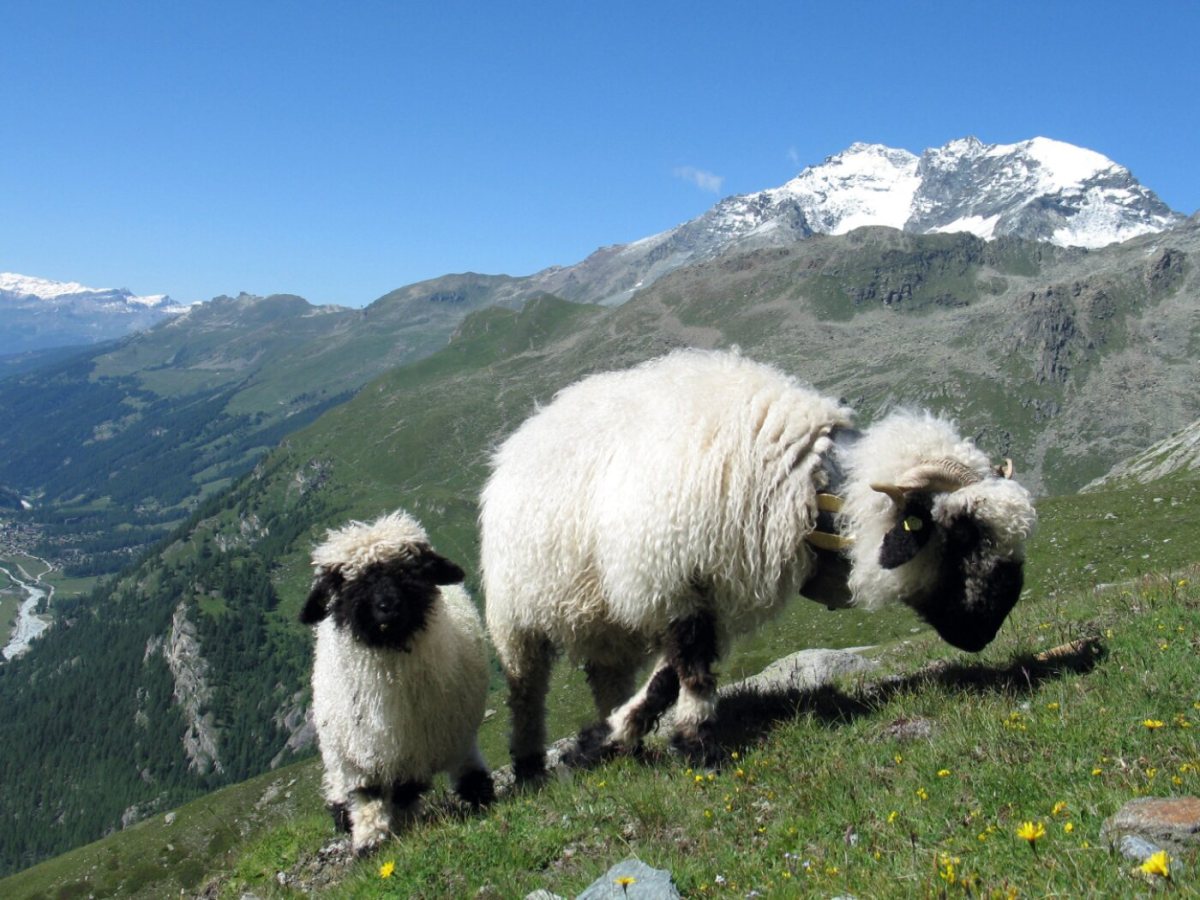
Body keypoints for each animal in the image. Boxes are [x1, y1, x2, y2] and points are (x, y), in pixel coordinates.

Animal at [300, 511, 494, 854]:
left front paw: (406, 823)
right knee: (340, 784)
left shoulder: (420, 747)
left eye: (408, 569)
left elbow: (407, 789)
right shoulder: (360, 754)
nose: (388, 607)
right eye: (346, 582)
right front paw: (369, 839)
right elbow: (367, 796)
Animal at [480, 348, 1036, 780]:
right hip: (515, 614)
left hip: (605, 622)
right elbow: (692, 668)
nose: (992, 625)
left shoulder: (708, 591)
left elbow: (666, 678)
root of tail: (530, 428)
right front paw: (698, 746)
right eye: (963, 531)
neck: (805, 482)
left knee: (605, 676)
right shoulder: (675, 578)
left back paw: (619, 741)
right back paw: (528, 765)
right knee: (526, 690)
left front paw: (614, 735)